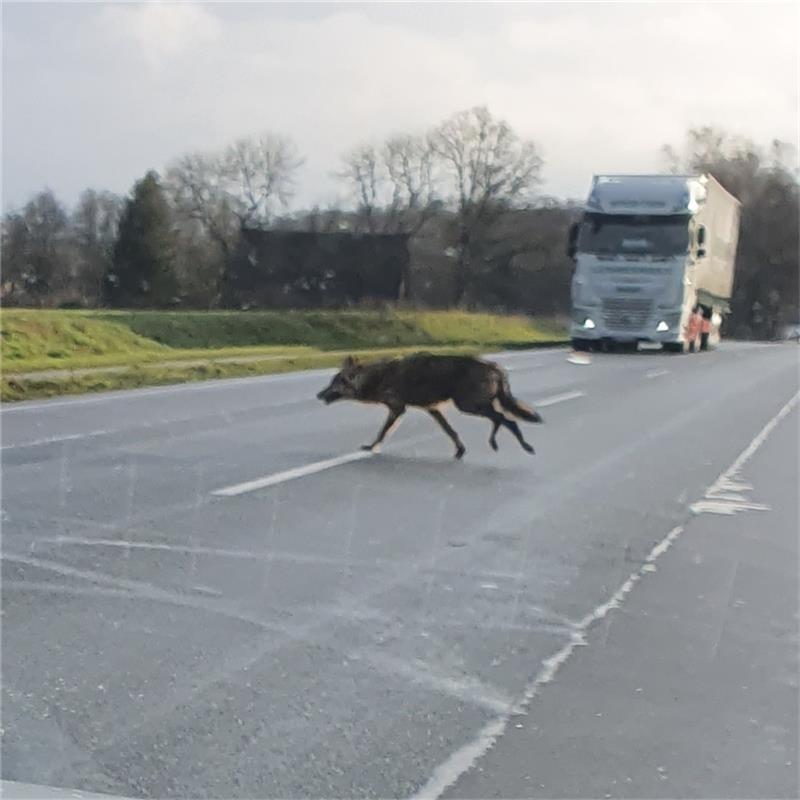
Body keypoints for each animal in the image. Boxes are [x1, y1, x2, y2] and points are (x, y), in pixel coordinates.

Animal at [314, 354, 544, 460]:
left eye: (333, 384)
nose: (318, 395)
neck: (377, 378)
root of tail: (496, 367)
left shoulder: (397, 409)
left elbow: (382, 432)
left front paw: (372, 447)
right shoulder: (433, 410)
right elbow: (450, 431)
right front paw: (460, 451)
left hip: (468, 405)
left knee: (505, 419)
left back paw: (514, 445)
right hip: (473, 405)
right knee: (503, 418)